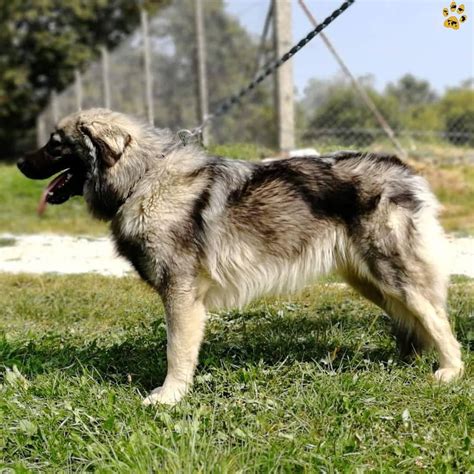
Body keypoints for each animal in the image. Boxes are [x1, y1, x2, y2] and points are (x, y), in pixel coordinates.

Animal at [17, 109, 462, 406]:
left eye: (55, 145)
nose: (19, 162)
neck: (143, 179)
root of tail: (405, 171)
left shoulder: (181, 296)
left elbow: (176, 351)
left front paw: (169, 396)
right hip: (369, 280)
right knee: (415, 319)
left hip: (392, 275)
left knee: (437, 319)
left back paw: (450, 371)